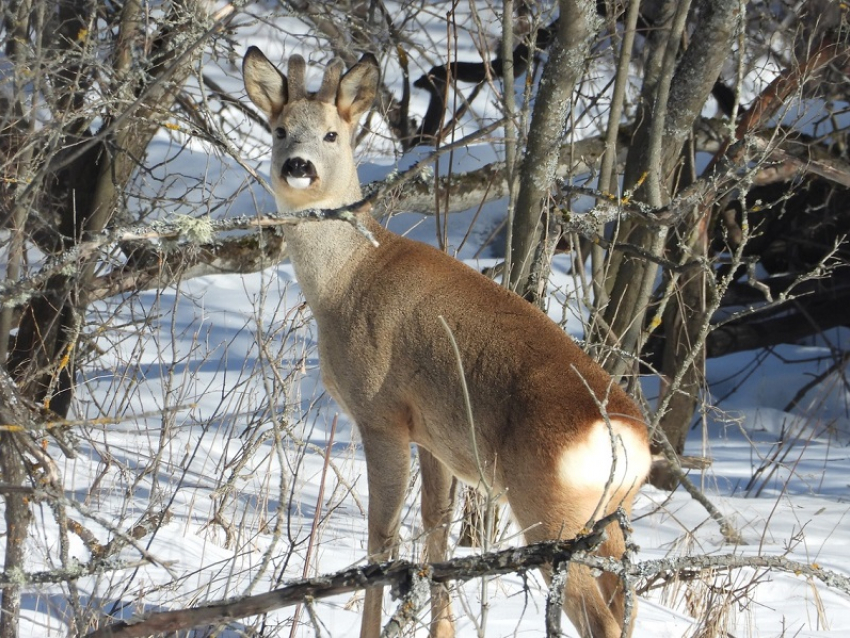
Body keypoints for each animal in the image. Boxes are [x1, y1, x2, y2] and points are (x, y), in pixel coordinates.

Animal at [242, 46, 652, 638]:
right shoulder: (433, 435)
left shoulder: (382, 413)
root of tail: (627, 437)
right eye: (278, 130)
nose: (297, 166)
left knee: (600, 618)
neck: (344, 280)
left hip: (549, 508)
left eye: (331, 135)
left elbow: (382, 539)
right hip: (611, 517)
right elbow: (435, 531)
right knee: (627, 600)